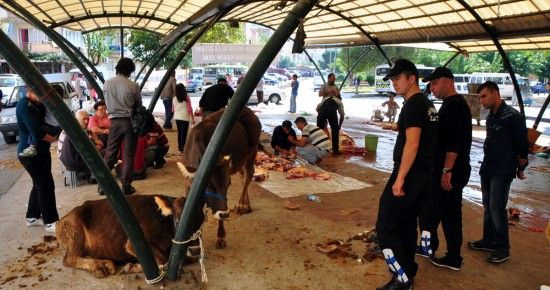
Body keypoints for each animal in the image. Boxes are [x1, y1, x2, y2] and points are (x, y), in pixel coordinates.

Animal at [55, 194, 202, 278]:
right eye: (178, 220)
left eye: (202, 221)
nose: (195, 249)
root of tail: (61, 220)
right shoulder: (133, 244)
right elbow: (162, 261)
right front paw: (130, 267)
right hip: (74, 232)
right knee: (69, 259)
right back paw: (99, 267)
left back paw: (105, 264)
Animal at [179, 107, 268, 249]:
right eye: (209, 186)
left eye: (228, 185)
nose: (225, 213)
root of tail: (249, 111)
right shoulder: (188, 185)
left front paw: (221, 237)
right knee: (242, 175)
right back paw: (246, 204)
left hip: (252, 151)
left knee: (249, 174)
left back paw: (242, 205)